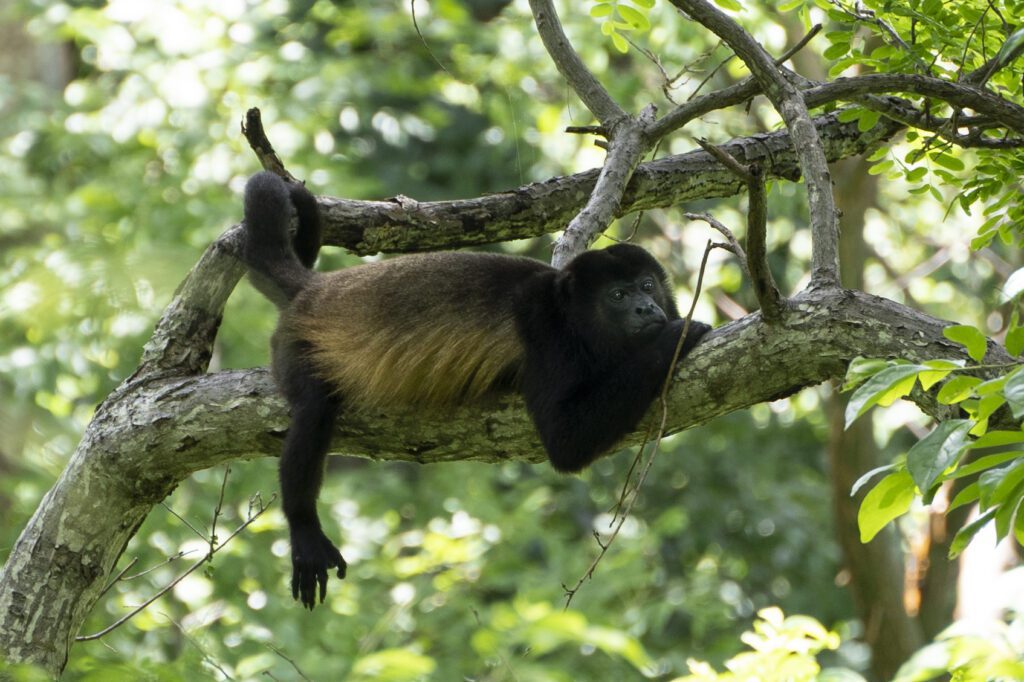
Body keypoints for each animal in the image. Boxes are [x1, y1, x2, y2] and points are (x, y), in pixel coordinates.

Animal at [241, 171, 711, 609]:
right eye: (618, 295)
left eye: (647, 285)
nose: (646, 308)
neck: (574, 317)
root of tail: (315, 290)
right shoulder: (545, 331)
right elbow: (565, 440)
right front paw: (676, 335)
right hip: (294, 346)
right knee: (314, 409)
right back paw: (304, 527)